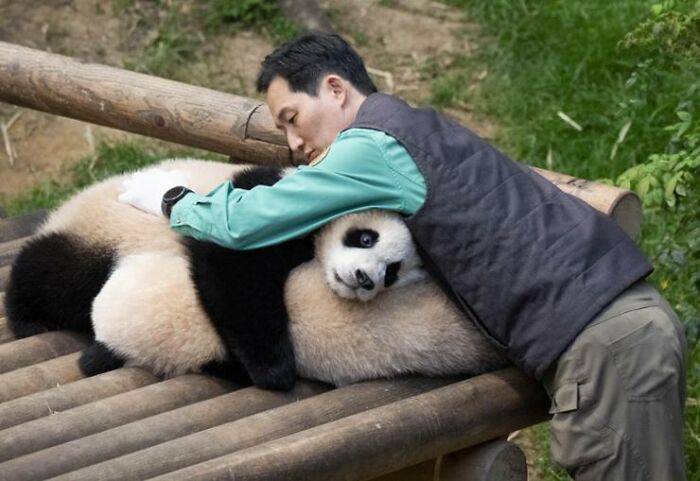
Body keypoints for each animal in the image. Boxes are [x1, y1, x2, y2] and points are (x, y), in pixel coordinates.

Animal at [6, 159, 507, 389]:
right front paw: (274, 367)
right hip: (99, 233)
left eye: (394, 271)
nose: (365, 279)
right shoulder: (272, 196)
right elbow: (233, 264)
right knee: (56, 276)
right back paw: (28, 317)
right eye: (365, 238)